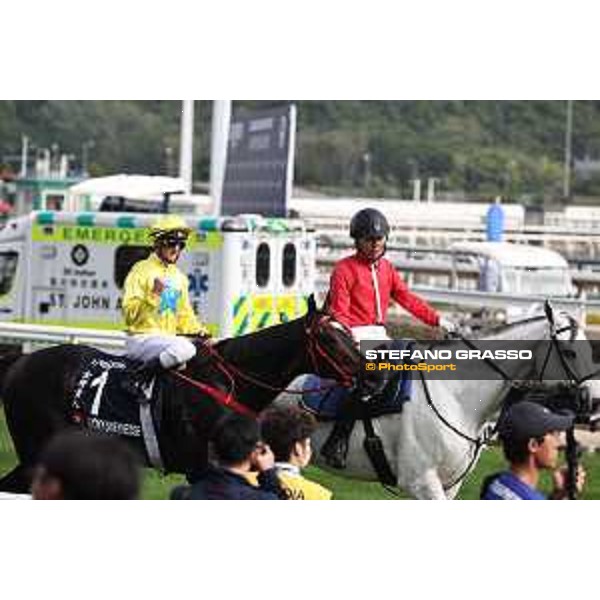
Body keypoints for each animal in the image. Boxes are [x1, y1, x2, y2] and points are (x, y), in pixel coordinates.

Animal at [0, 300, 360, 492]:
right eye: (329, 338)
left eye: (348, 333)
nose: (367, 372)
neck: (224, 382)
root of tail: (21, 360)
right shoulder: (200, 467)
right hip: (35, 453)